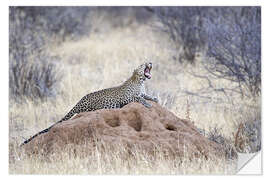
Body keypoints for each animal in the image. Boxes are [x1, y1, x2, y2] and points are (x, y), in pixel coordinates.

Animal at [22, 62, 159, 145]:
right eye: (142, 64)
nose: (150, 62)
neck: (140, 81)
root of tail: (81, 99)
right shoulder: (126, 99)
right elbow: (139, 98)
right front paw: (148, 104)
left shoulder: (142, 93)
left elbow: (146, 96)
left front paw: (155, 99)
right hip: (93, 106)